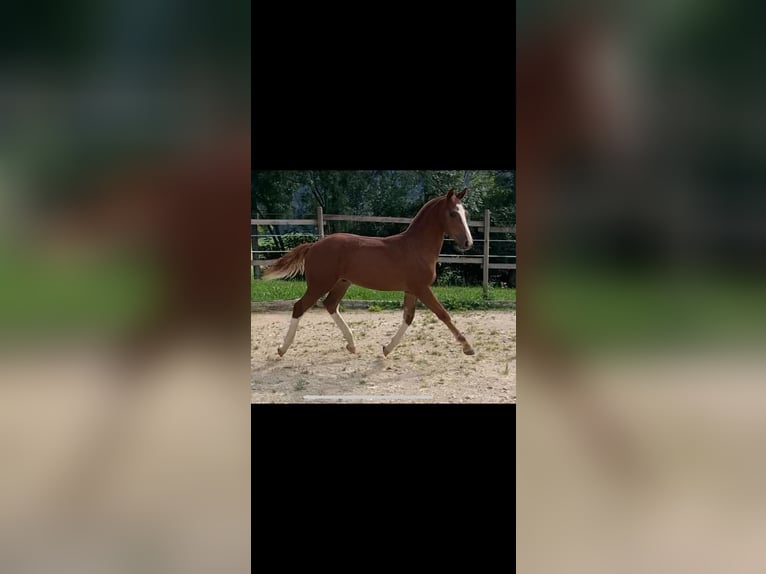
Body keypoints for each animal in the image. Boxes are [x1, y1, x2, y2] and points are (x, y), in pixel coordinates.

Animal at [268, 191, 476, 358]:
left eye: (465, 214)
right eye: (453, 213)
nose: (468, 243)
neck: (416, 247)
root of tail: (313, 246)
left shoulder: (411, 290)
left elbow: (408, 317)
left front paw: (386, 349)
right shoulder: (422, 288)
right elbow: (443, 314)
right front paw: (468, 347)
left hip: (342, 282)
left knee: (330, 304)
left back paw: (352, 345)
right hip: (320, 283)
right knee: (299, 307)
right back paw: (282, 349)